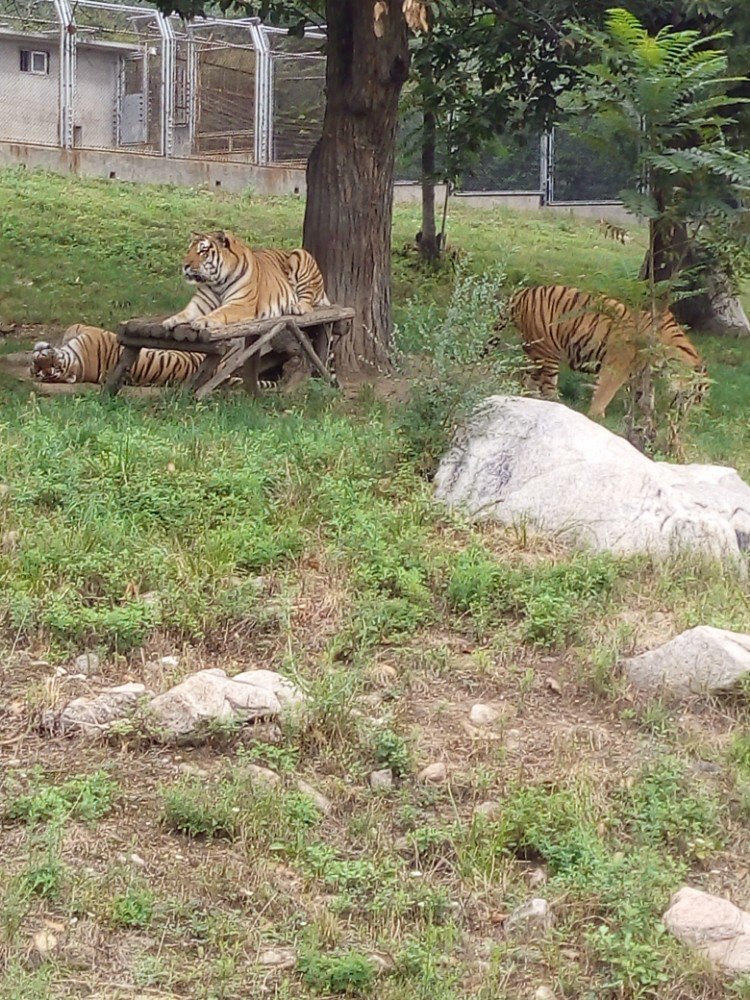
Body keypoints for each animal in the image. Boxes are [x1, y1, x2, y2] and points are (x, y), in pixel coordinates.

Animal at [163, 229, 330, 334]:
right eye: (189, 250)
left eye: (202, 251)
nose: (184, 266)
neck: (217, 283)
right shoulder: (199, 304)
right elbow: (184, 313)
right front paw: (169, 321)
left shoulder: (240, 304)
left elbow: (219, 312)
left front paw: (202, 320)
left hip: (300, 254)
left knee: (308, 302)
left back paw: (297, 307)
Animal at [494, 286, 712, 418]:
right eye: (698, 395)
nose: (696, 415)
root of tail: (522, 292)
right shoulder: (618, 365)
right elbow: (605, 392)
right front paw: (596, 416)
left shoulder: (641, 372)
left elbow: (643, 395)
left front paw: (645, 415)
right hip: (547, 351)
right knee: (547, 386)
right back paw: (561, 406)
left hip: (534, 353)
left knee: (528, 380)